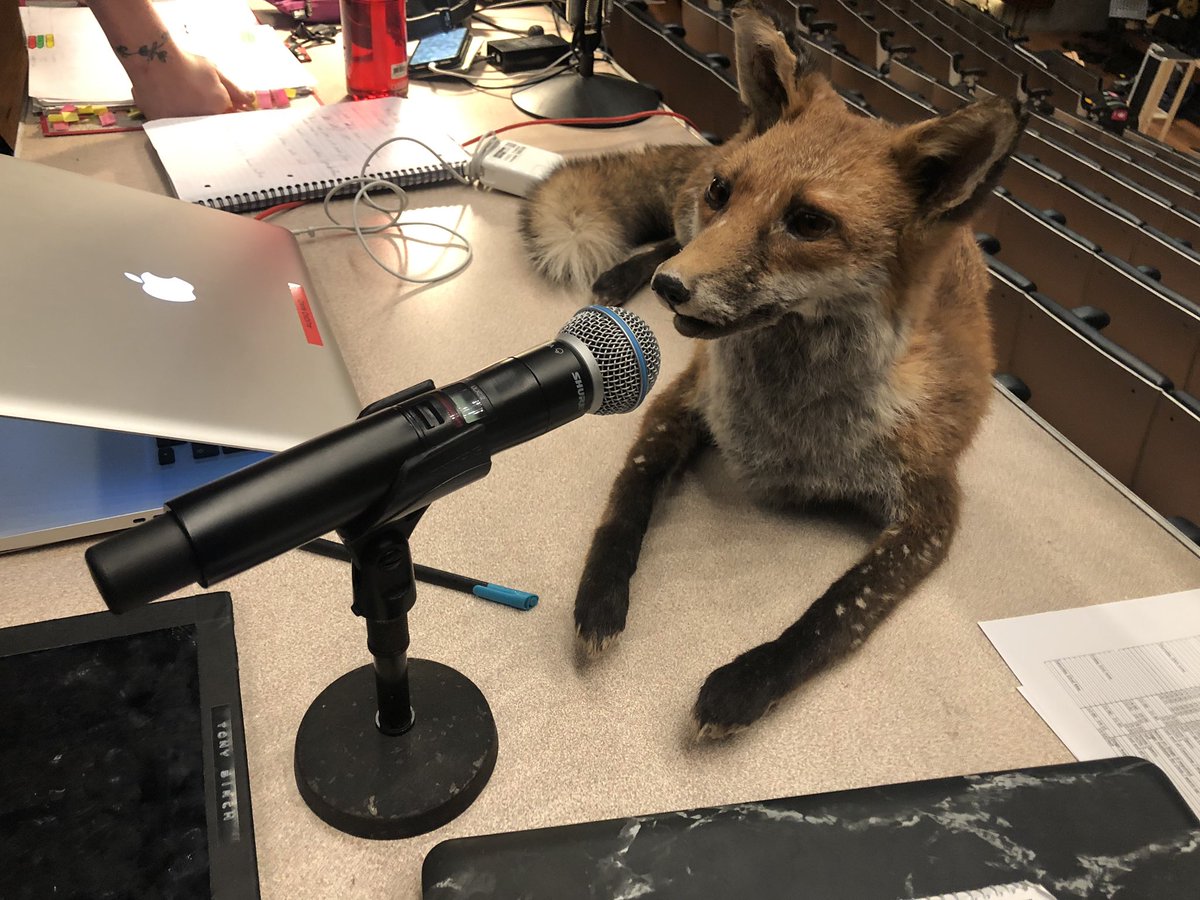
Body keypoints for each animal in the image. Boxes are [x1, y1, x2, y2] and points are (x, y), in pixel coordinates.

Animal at [519, 2, 1026, 739]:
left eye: (808, 221)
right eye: (726, 194)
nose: (671, 290)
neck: (785, 421)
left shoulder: (933, 508)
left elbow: (836, 612)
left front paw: (747, 685)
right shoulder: (681, 395)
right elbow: (626, 501)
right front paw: (600, 600)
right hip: (684, 219)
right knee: (666, 234)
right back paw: (623, 273)